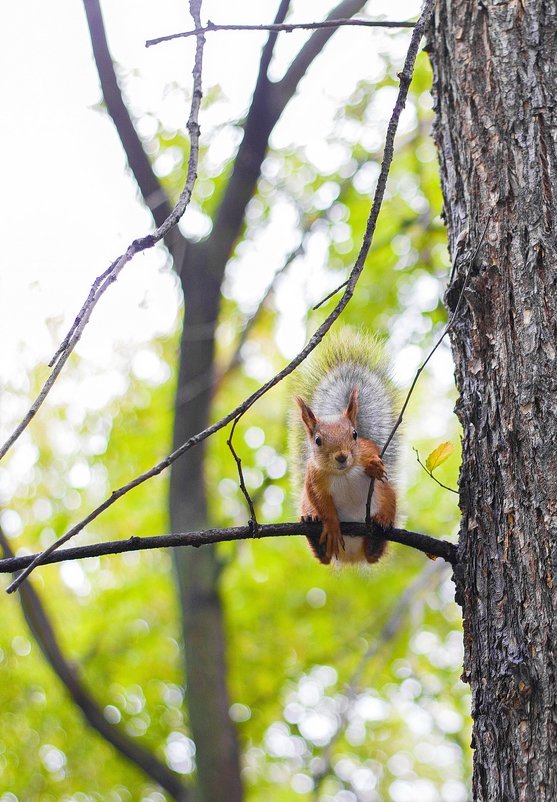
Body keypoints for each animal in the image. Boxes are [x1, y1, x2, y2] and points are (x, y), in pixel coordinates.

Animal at [292, 330, 400, 564]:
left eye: (354, 435)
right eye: (317, 440)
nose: (342, 457)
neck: (344, 473)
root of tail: (352, 555)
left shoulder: (367, 449)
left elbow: (376, 457)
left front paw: (374, 467)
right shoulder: (314, 479)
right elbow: (322, 504)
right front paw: (332, 525)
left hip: (387, 495)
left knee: (373, 553)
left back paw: (381, 524)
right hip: (306, 505)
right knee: (323, 556)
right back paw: (311, 522)